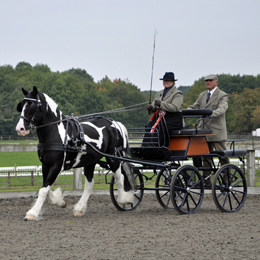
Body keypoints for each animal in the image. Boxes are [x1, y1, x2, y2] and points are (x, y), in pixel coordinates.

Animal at [15, 87, 135, 219]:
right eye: (21, 105)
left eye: (32, 106)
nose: (20, 129)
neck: (56, 133)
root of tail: (115, 123)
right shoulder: (45, 165)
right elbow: (45, 188)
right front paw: (60, 201)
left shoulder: (56, 166)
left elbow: (43, 190)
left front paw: (32, 213)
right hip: (90, 161)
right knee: (89, 184)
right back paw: (79, 208)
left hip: (113, 158)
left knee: (120, 177)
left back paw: (124, 200)